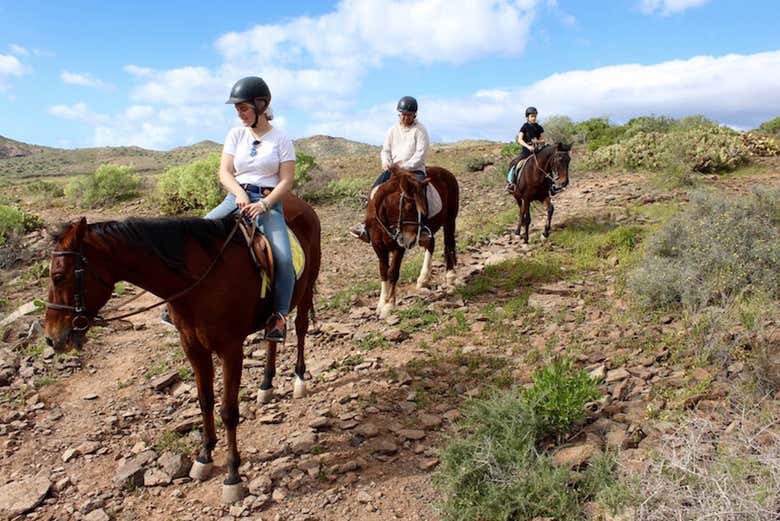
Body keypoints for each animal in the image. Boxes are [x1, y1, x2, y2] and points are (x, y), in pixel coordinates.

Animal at [42, 193, 322, 502]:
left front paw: (232, 475)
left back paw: (298, 380)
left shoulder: (230, 349)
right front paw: (204, 456)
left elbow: (228, 411)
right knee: (271, 337)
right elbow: (204, 400)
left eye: (58, 276)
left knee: (300, 328)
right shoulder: (192, 346)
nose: (52, 338)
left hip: (306, 288)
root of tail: (301, 204)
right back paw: (266, 385)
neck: (200, 280)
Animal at [364, 166, 458, 316]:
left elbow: (393, 272)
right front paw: (381, 303)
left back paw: (450, 276)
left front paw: (389, 305)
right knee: (431, 245)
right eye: (409, 208)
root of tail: (447, 173)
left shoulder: (398, 247)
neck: (385, 222)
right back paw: (423, 279)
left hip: (450, 220)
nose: (410, 240)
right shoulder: (378, 246)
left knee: (448, 244)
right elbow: (383, 271)